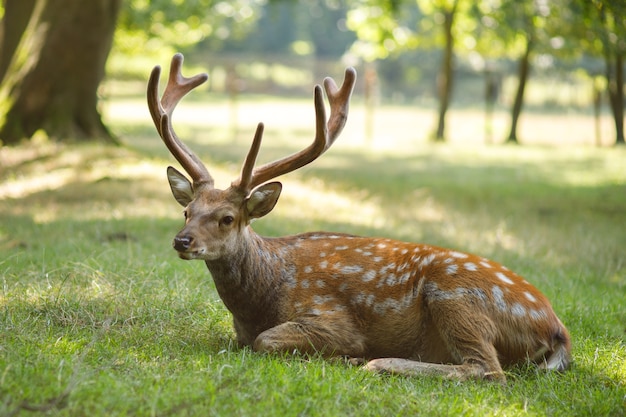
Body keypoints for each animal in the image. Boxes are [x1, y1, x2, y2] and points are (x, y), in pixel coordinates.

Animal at [147, 53, 572, 382]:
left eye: (227, 218)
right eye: (187, 210)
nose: (182, 240)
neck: (260, 299)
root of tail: (557, 330)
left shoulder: (330, 319)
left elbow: (265, 341)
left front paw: (345, 355)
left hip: (456, 297)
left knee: (488, 370)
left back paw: (377, 362)